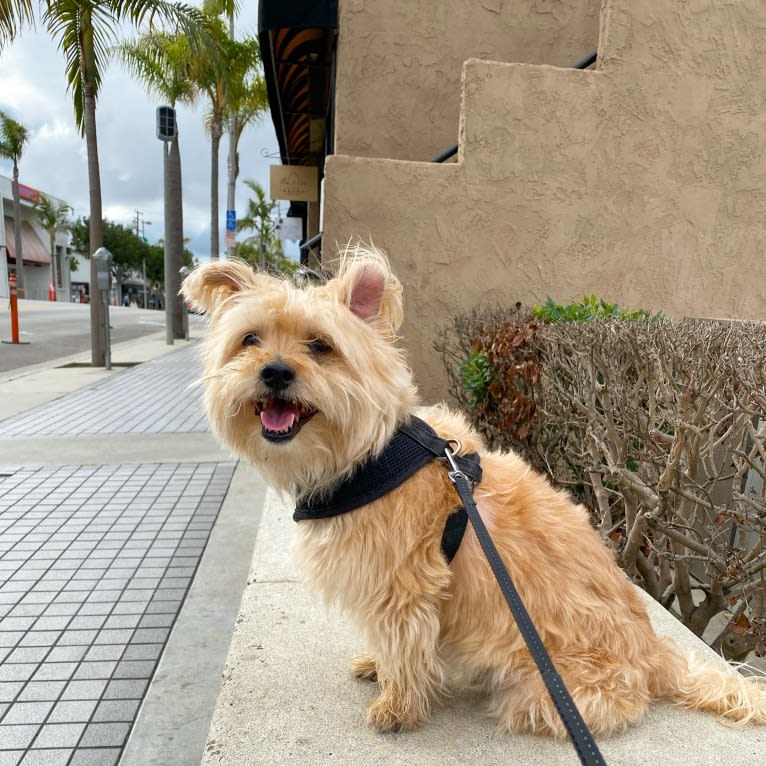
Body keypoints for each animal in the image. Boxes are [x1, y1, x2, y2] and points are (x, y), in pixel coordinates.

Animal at [184, 246, 766, 736]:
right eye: (250, 339)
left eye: (320, 345)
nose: (275, 371)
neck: (370, 453)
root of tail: (657, 657)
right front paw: (379, 668)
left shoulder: (403, 589)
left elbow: (404, 648)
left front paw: (398, 705)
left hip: (543, 693)